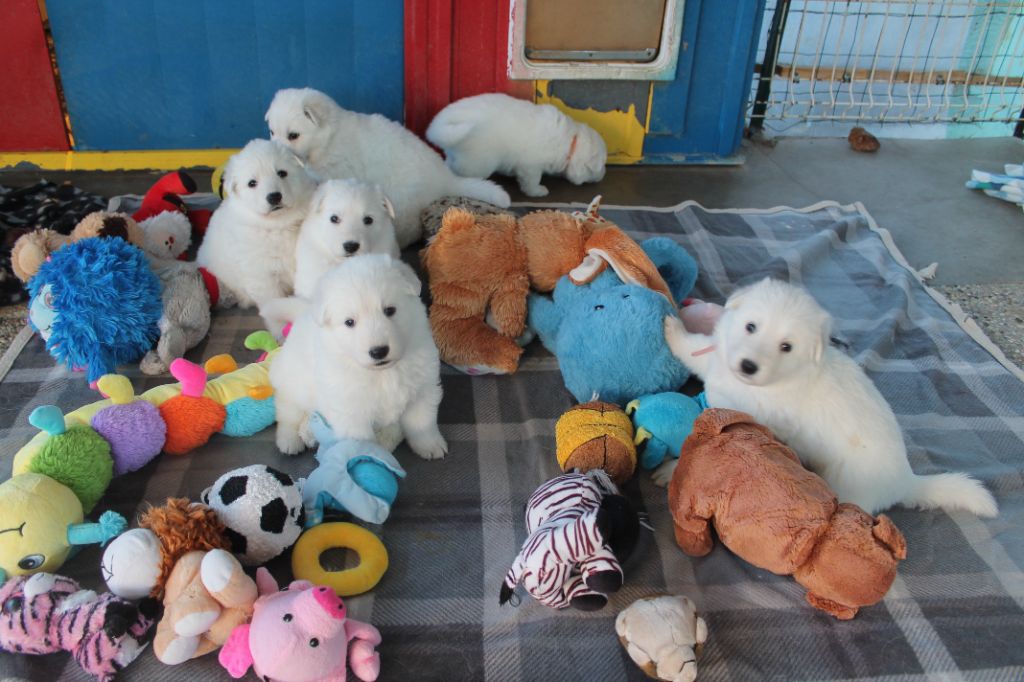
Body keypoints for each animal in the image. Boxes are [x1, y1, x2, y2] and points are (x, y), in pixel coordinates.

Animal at [194, 137, 313, 307]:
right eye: (252, 183)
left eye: (282, 173)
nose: (274, 197)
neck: (277, 225)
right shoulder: (262, 275)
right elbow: (273, 301)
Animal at [266, 87, 509, 246]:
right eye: (272, 131)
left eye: (293, 135)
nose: (276, 154)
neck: (328, 139)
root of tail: (445, 178)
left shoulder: (337, 171)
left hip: (402, 202)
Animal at [270, 251, 446, 458]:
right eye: (349, 322)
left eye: (389, 310)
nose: (379, 351)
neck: (383, 373)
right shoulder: (350, 411)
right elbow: (362, 442)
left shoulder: (423, 388)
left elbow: (422, 423)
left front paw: (430, 445)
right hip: (292, 385)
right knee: (287, 412)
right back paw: (290, 440)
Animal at [425, 91, 606, 196]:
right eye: (602, 164)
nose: (603, 175)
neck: (571, 142)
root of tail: (443, 121)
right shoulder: (531, 165)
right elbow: (531, 181)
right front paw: (537, 191)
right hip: (477, 163)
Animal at [659, 276, 995, 516]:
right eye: (750, 326)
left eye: (786, 346)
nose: (748, 366)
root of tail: (906, 480)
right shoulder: (717, 362)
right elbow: (695, 350)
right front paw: (672, 326)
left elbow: (707, 448)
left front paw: (674, 470)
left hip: (850, 487)